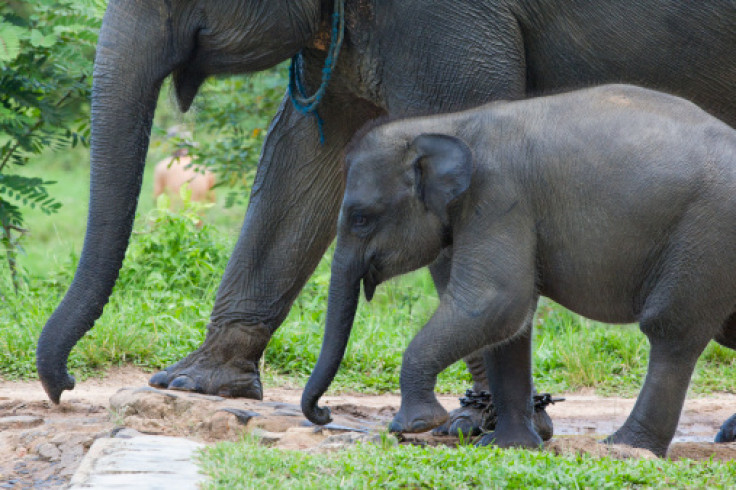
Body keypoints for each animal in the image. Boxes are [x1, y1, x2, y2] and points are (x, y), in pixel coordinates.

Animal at [302, 83, 736, 456]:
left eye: (361, 218)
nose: (324, 413)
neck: (448, 124)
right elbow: (509, 323)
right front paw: (507, 446)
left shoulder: (498, 196)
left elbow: (495, 302)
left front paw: (415, 425)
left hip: (706, 235)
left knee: (672, 331)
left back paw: (627, 447)